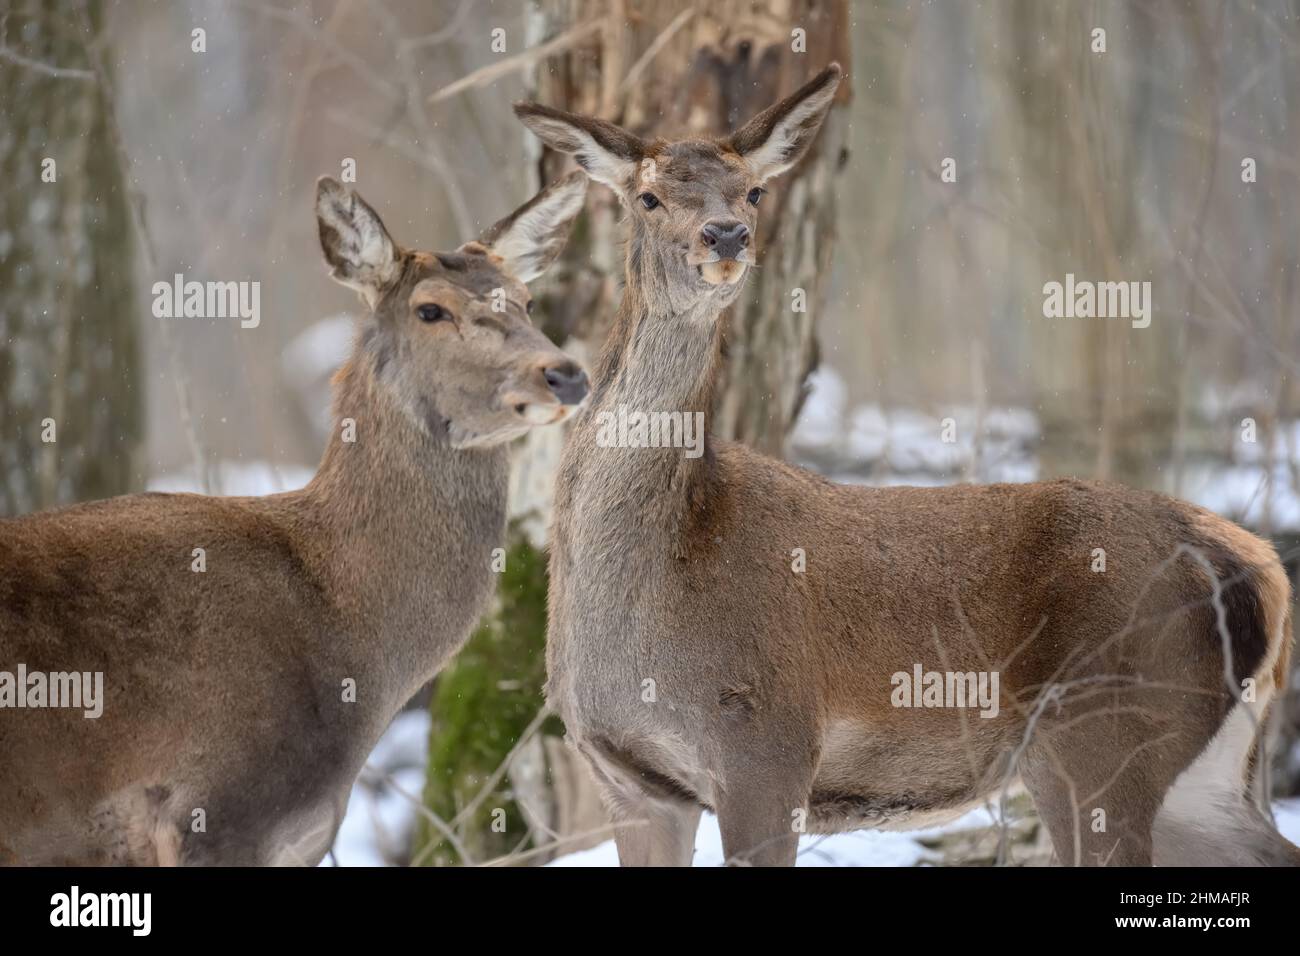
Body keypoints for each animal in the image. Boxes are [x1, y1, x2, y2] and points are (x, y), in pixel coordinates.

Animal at [517, 61, 1300, 868]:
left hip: (1104, 731)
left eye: (754, 191)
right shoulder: (630, 780)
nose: (725, 233)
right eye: (647, 196)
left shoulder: (767, 742)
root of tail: (1264, 568)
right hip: (1196, 771)